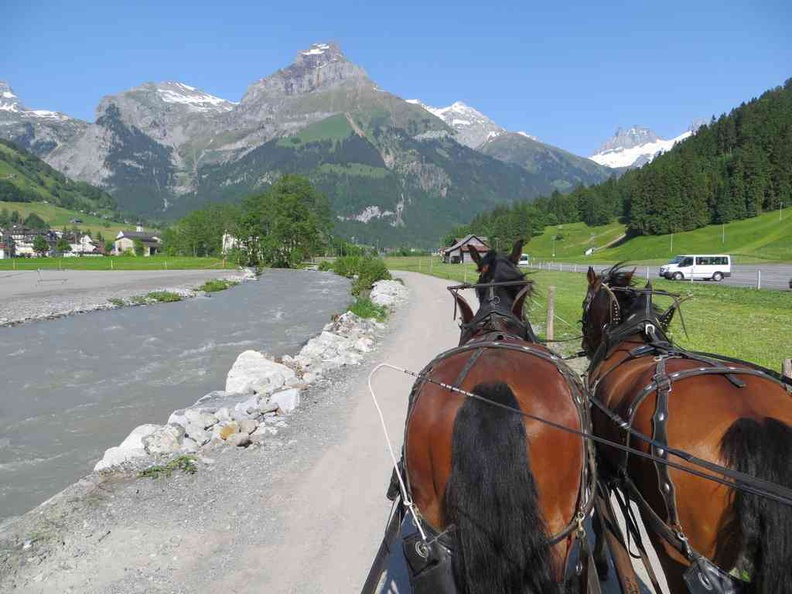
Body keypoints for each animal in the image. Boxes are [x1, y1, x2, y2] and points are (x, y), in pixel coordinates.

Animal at [580, 264, 792, 592]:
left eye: (585, 304)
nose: (584, 344)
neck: (632, 340)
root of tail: (754, 420)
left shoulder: (602, 467)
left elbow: (603, 522)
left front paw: (602, 563)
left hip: (673, 546)